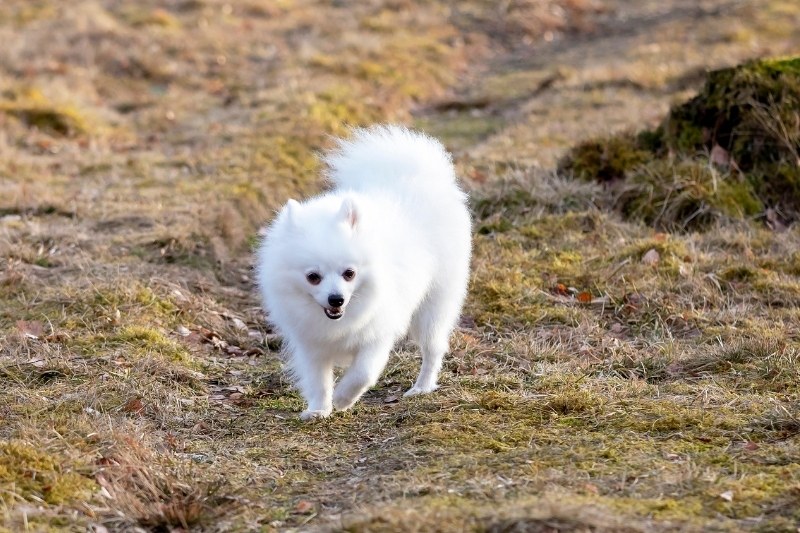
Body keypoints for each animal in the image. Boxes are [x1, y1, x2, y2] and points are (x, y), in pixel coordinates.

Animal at [256, 125, 472, 420]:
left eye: (349, 273)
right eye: (313, 277)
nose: (336, 299)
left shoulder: (376, 335)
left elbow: (362, 373)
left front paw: (343, 398)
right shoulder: (312, 345)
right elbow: (318, 381)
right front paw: (319, 409)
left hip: (434, 305)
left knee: (433, 349)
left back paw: (422, 387)